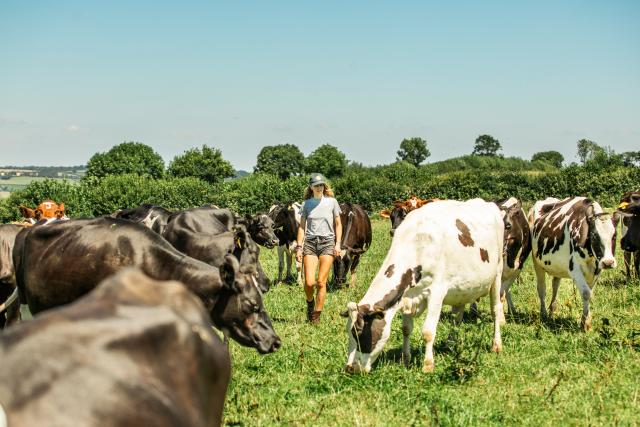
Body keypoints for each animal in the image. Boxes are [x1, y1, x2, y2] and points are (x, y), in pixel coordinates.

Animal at [343, 199, 504, 374]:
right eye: (349, 333)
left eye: (359, 333)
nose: (350, 368)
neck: (417, 242)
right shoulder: (406, 295)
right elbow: (406, 329)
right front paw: (405, 359)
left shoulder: (437, 292)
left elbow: (428, 331)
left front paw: (428, 365)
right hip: (462, 288)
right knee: (457, 316)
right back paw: (450, 343)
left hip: (498, 272)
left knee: (496, 309)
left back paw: (496, 345)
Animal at [529, 197, 617, 331]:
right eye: (594, 236)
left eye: (614, 236)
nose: (608, 262)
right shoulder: (575, 269)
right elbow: (586, 293)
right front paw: (585, 324)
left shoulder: (596, 270)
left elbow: (589, 293)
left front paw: (586, 321)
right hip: (536, 262)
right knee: (541, 288)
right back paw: (544, 314)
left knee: (555, 285)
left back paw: (552, 311)